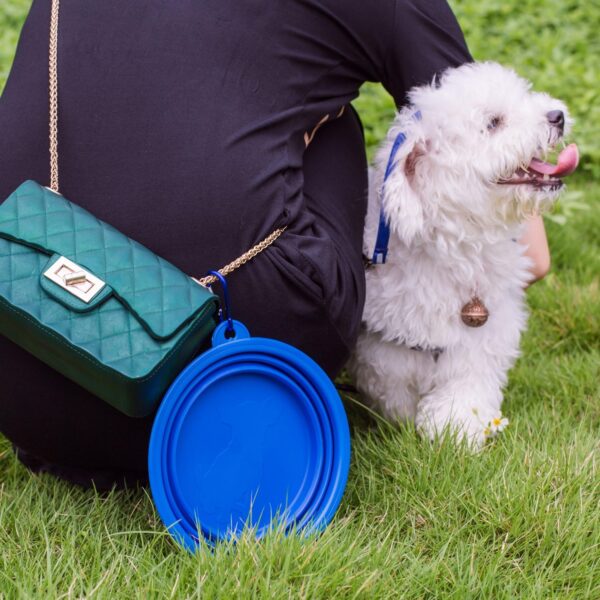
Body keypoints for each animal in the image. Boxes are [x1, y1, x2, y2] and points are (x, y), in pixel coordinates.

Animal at [350, 63, 580, 448]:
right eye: (493, 122)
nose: (557, 115)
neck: (456, 245)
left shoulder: (484, 334)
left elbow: (466, 388)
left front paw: (456, 432)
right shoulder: (386, 346)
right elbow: (393, 389)